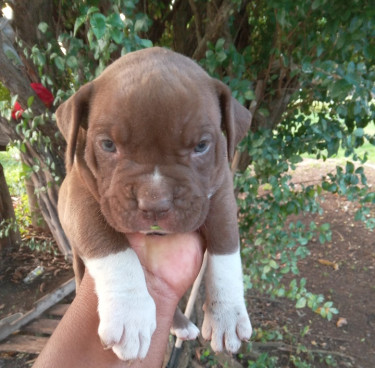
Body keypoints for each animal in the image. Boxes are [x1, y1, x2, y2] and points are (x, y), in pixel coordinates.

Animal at [56, 47, 253, 360]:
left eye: (201, 146)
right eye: (108, 145)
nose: (155, 203)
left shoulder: (222, 191)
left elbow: (225, 249)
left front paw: (228, 313)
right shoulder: (75, 194)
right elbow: (107, 244)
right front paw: (130, 312)